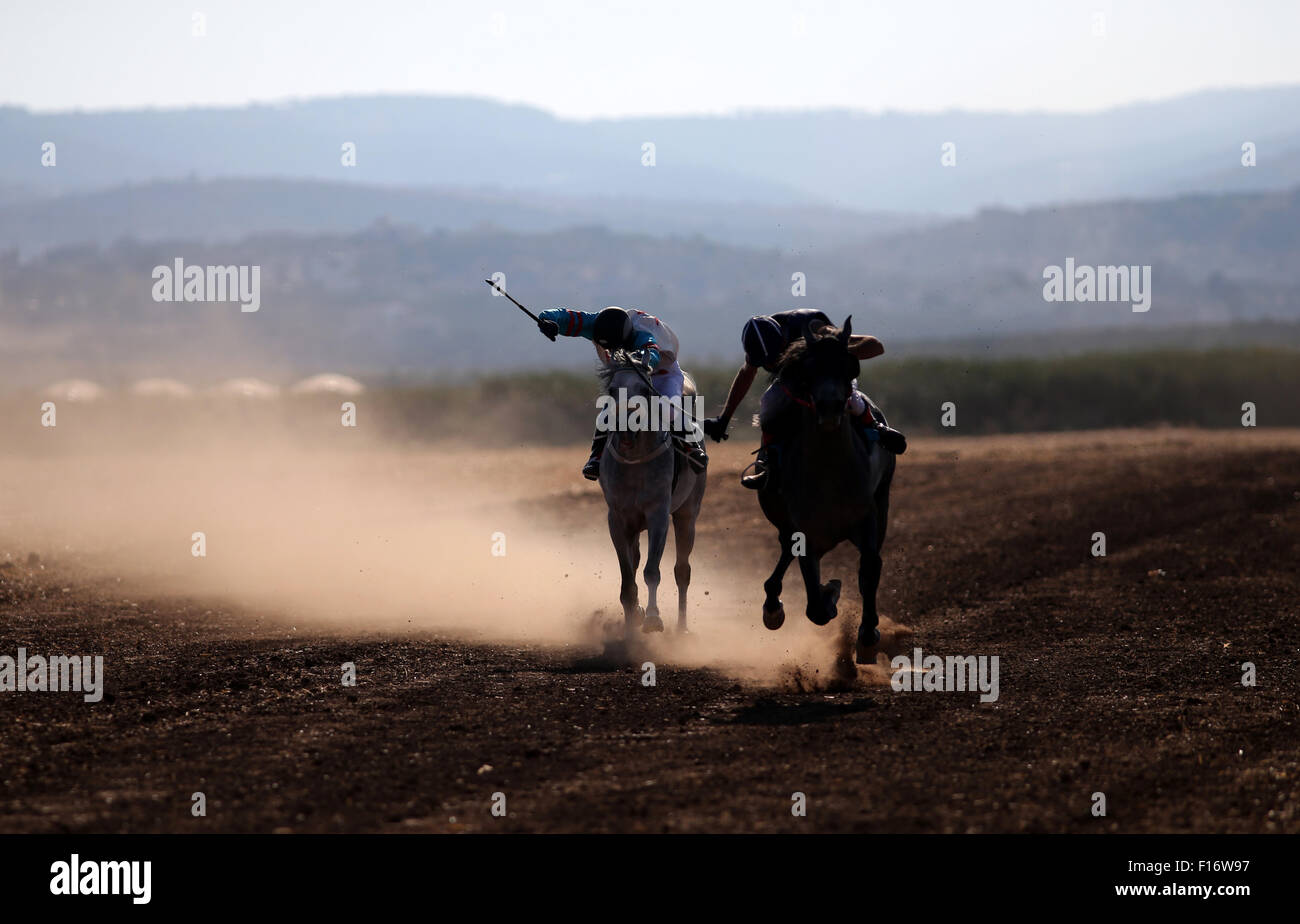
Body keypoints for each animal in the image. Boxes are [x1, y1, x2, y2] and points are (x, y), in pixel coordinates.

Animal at [600, 353, 712, 636]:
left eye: (643, 388)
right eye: (612, 390)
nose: (625, 430)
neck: (635, 463)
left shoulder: (658, 515)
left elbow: (652, 571)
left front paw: (652, 618)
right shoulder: (617, 518)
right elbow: (627, 576)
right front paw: (631, 622)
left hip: (687, 515)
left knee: (682, 571)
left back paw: (681, 628)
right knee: (636, 560)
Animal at [754, 318, 894, 665]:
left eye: (848, 365)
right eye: (809, 369)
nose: (829, 407)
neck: (830, 476)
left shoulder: (868, 515)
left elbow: (869, 568)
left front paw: (867, 635)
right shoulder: (806, 530)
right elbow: (815, 606)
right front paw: (830, 592)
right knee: (785, 552)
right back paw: (773, 605)